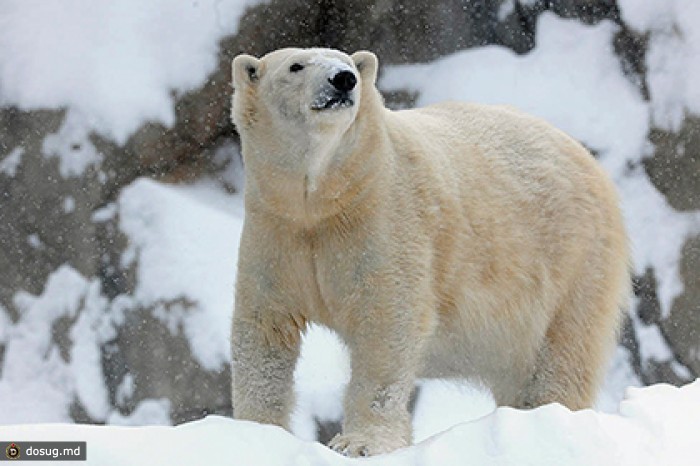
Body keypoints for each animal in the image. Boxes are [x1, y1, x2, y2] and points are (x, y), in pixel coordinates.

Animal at [230, 47, 628, 456]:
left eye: (348, 62)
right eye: (296, 66)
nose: (343, 80)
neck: (324, 199)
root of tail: (590, 162)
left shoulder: (386, 219)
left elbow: (387, 324)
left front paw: (360, 443)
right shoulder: (277, 231)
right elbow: (264, 327)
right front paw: (255, 431)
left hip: (573, 262)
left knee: (562, 356)